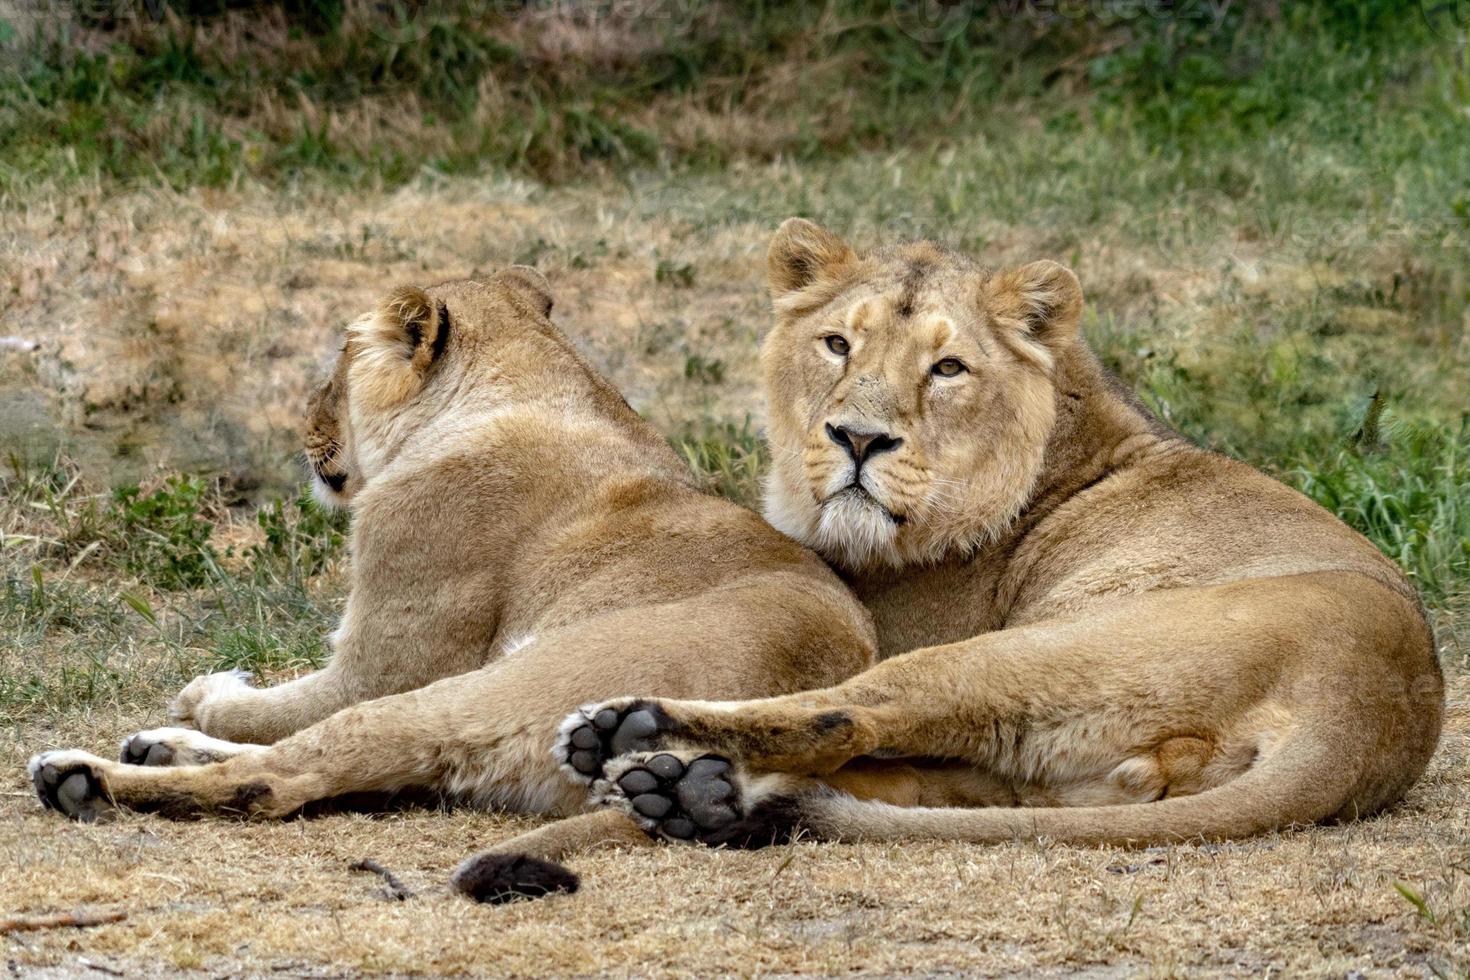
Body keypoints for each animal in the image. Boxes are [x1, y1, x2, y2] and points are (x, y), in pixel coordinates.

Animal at [25, 265, 870, 899]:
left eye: (338, 362)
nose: (304, 426)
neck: (532, 383)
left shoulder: (380, 665)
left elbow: (271, 712)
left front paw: (208, 692)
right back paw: (152, 750)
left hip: (489, 689)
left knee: (279, 778)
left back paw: (79, 778)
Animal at [552, 218, 1446, 846]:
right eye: (837, 343)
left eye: (948, 369)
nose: (858, 439)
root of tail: (1371, 716)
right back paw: (692, 795)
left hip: (1034, 649)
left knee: (850, 717)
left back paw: (638, 737)